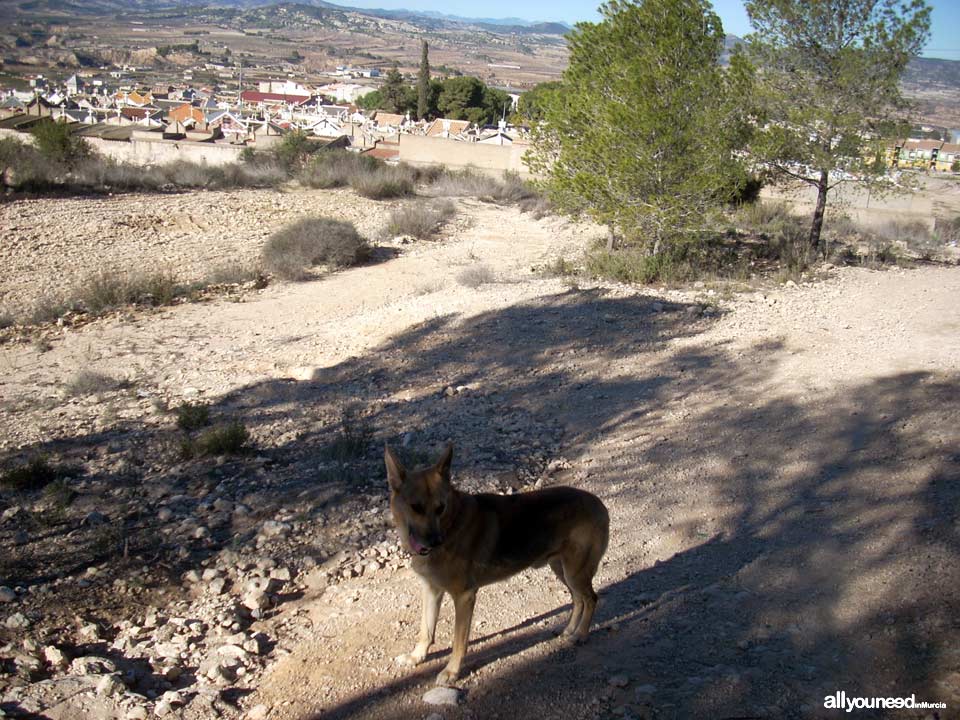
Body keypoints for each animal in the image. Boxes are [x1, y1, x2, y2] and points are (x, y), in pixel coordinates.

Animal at [382, 444, 608, 688]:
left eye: (440, 508)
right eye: (416, 507)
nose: (435, 542)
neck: (451, 523)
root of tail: (599, 503)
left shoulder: (464, 597)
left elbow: (459, 641)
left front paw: (452, 671)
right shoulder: (431, 590)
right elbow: (426, 630)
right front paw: (416, 657)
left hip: (575, 572)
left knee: (590, 599)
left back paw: (581, 635)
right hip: (562, 569)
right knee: (577, 599)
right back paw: (569, 630)